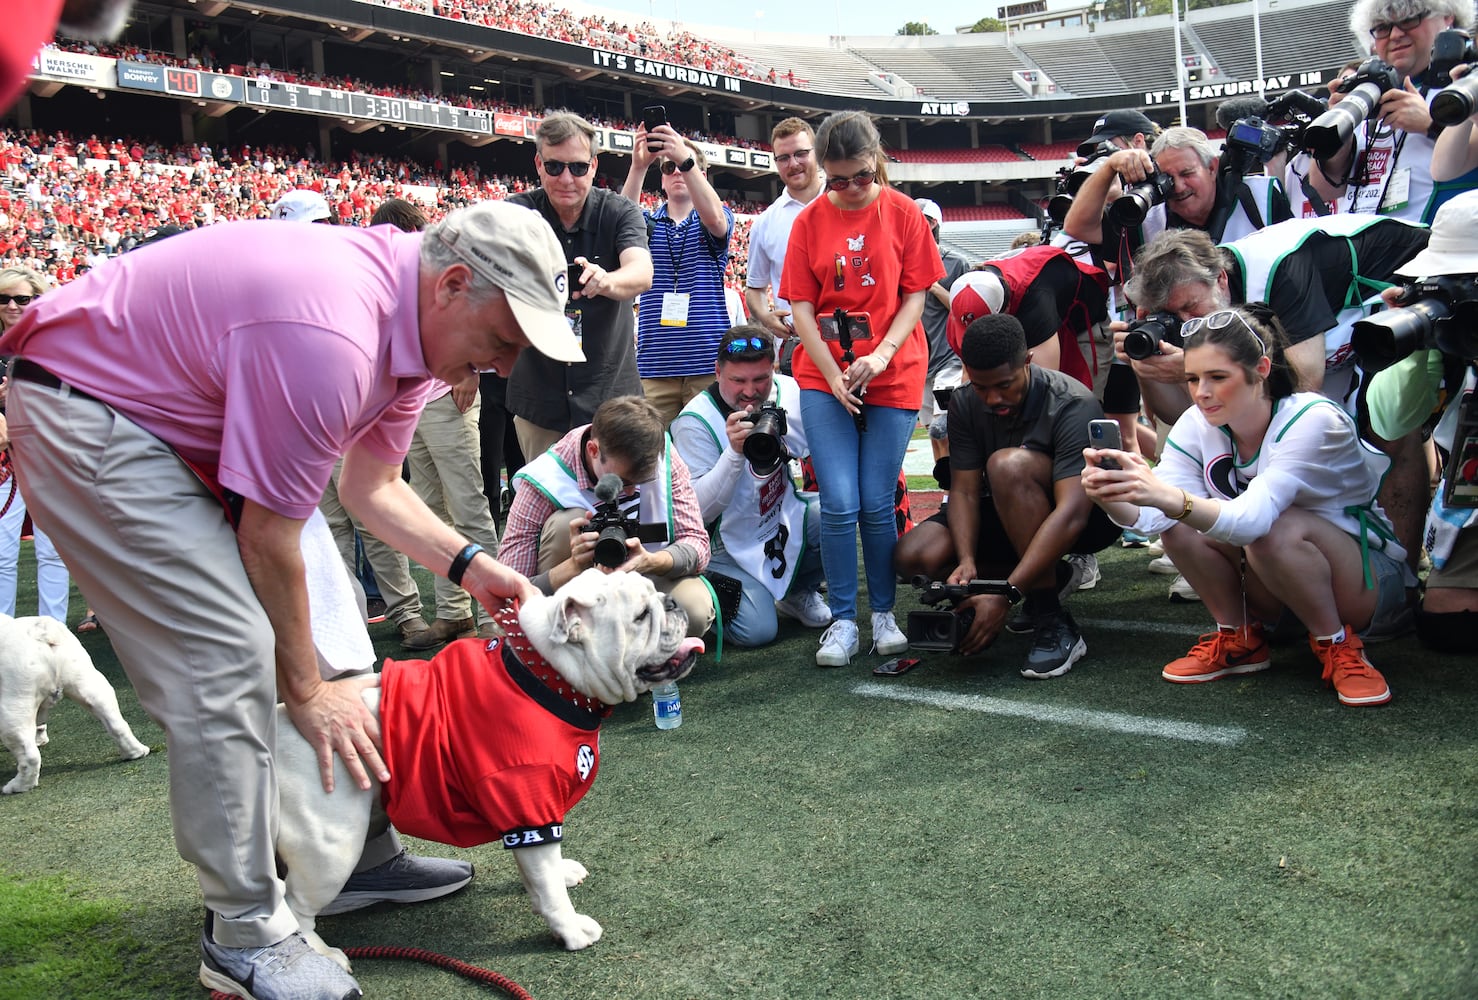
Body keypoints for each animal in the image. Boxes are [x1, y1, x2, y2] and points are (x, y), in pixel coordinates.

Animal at [0, 611, 148, 791]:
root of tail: (40, 632)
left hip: (12, 706)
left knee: (30, 756)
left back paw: (17, 786)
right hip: (89, 683)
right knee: (116, 723)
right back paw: (136, 752)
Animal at [276, 570, 703, 968]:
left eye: (656, 592)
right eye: (641, 615)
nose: (672, 602)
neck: (550, 673)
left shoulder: (527, 818)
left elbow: (540, 871)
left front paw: (559, 876)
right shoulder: (528, 802)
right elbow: (548, 884)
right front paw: (570, 929)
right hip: (333, 848)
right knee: (294, 906)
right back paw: (323, 957)